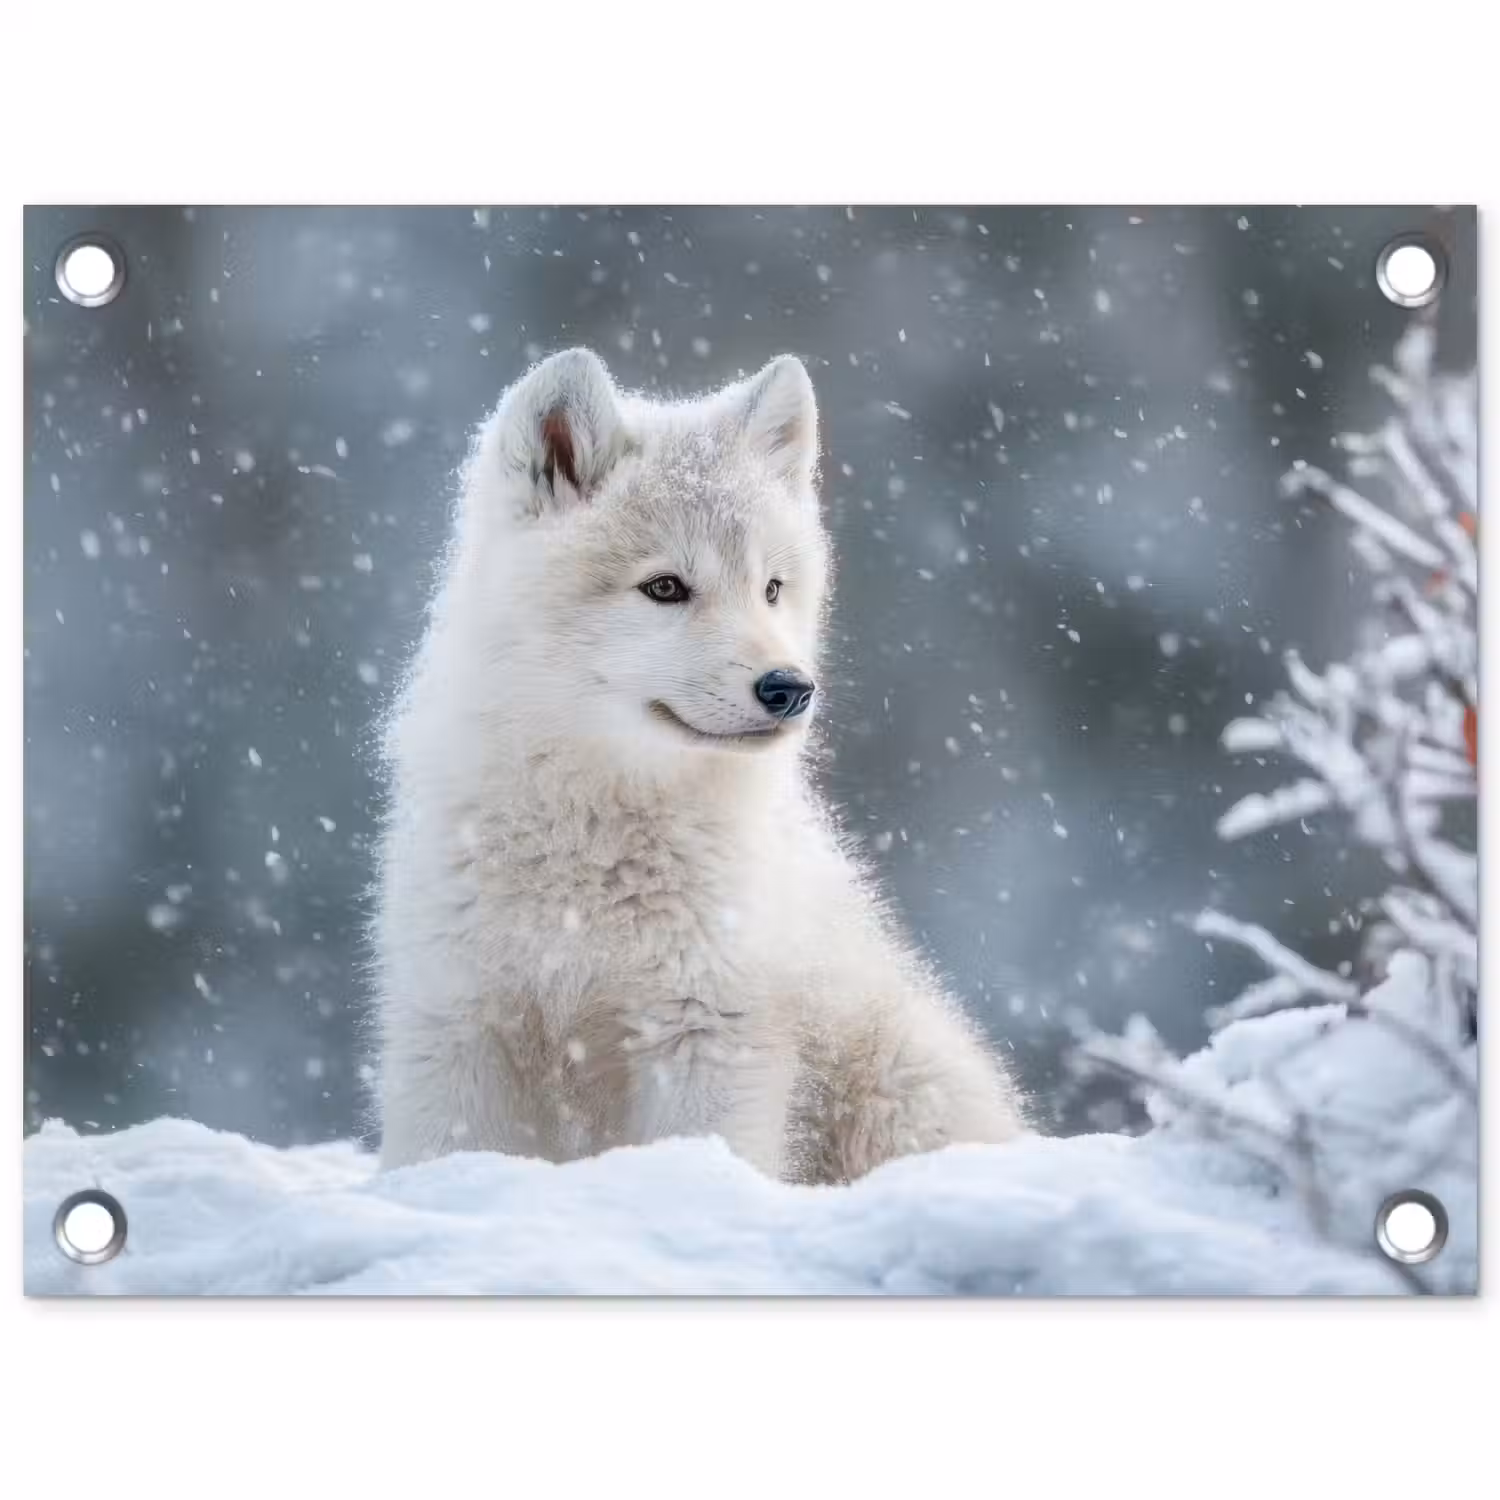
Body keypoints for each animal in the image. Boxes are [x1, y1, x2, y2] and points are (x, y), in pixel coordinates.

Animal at [373, 348, 1027, 1181]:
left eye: (771, 588)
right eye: (665, 587)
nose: (789, 688)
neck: (592, 848)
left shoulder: (709, 1031)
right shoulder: (460, 1025)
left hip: (898, 1085)